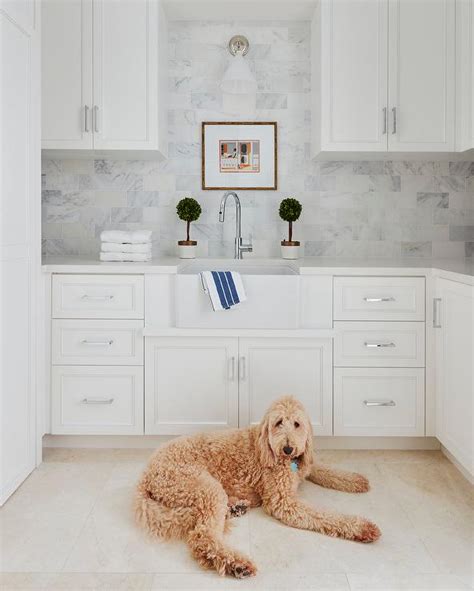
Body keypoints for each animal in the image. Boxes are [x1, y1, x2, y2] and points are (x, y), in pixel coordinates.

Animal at [134, 398, 382, 580]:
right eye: (279, 422)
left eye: (297, 424)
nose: (288, 448)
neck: (272, 451)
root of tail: (147, 472)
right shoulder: (283, 502)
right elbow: (325, 515)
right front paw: (361, 527)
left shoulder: (304, 464)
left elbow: (323, 469)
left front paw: (356, 480)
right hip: (203, 486)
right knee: (203, 534)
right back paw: (235, 564)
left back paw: (236, 508)